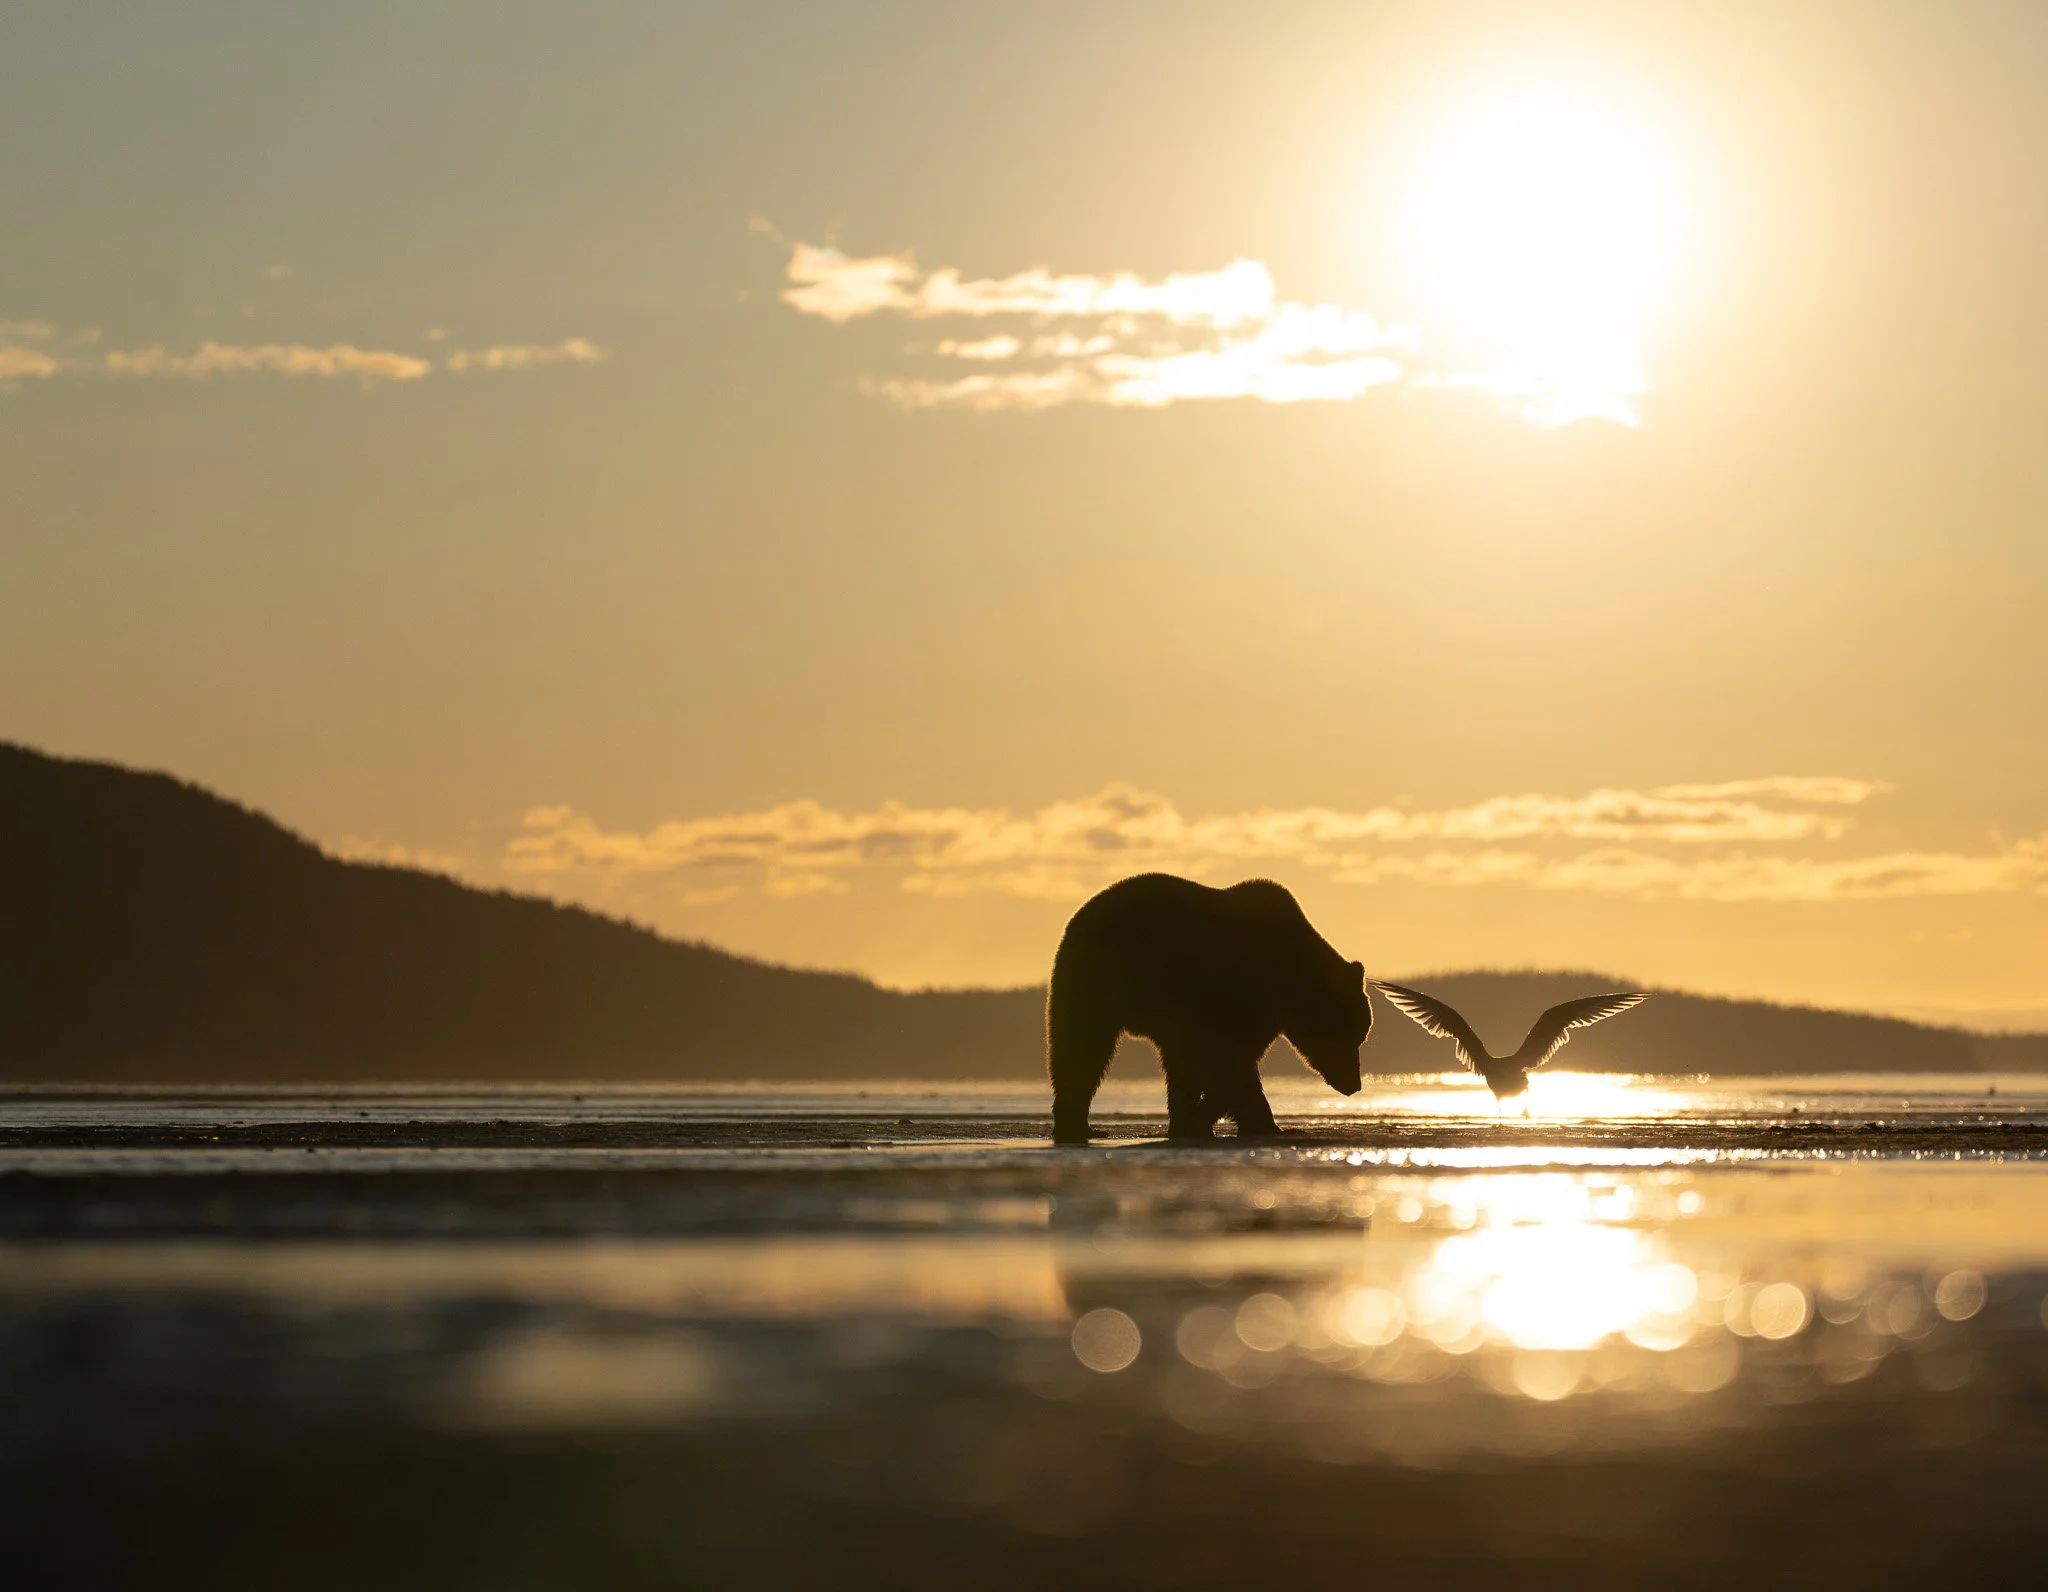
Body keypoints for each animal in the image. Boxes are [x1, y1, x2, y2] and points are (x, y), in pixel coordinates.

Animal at [1047, 873, 1370, 1145]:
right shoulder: (1239, 994)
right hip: (1104, 975)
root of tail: (1080, 915)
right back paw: (1077, 1126)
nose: (1354, 1084)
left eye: (1360, 1036)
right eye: (1350, 1037)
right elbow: (1232, 1062)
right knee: (1085, 1047)